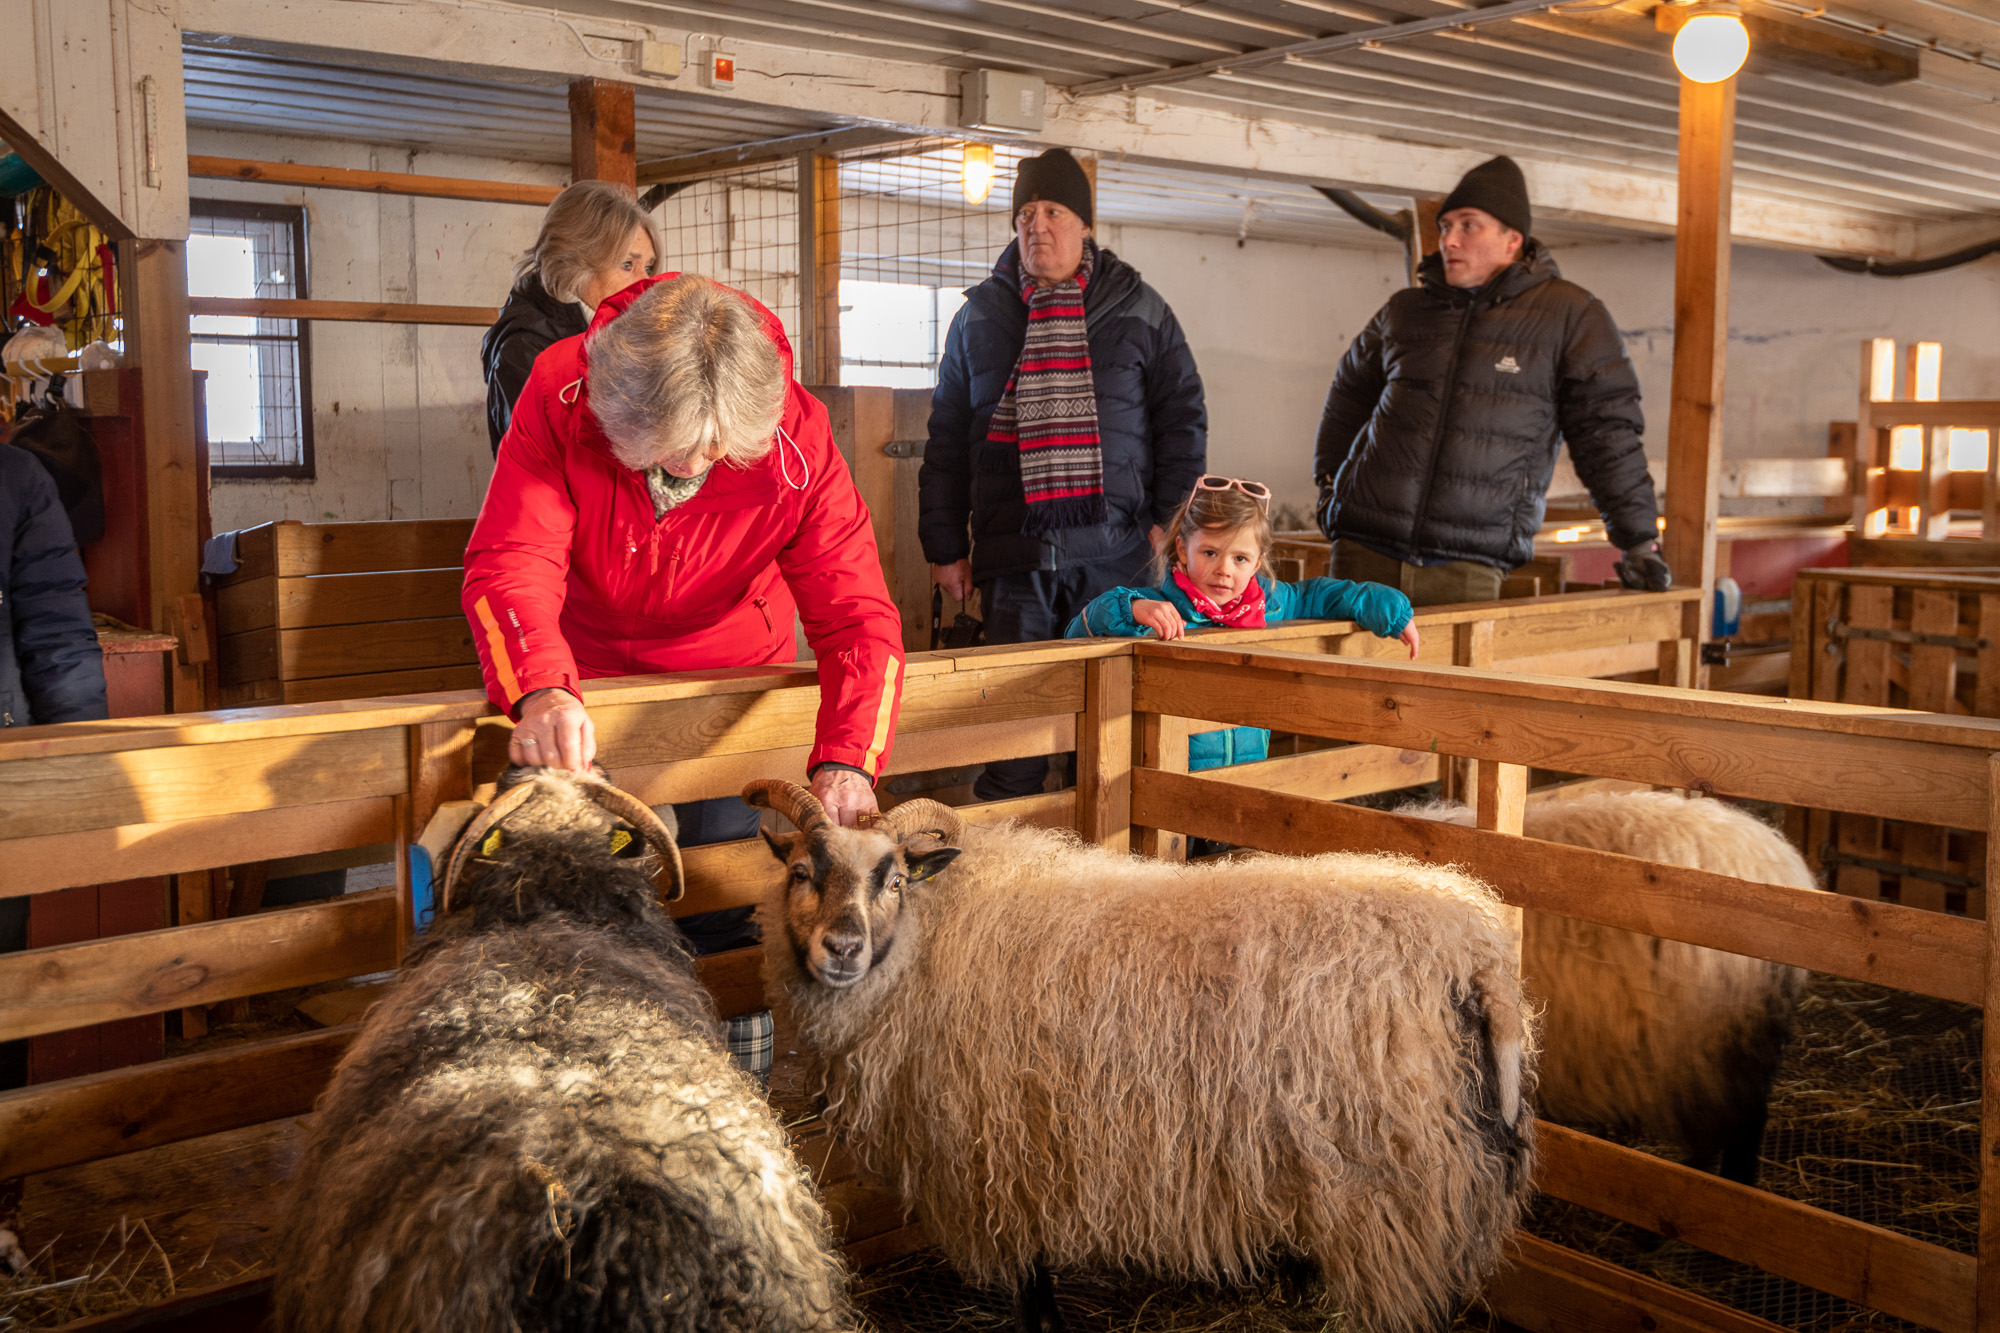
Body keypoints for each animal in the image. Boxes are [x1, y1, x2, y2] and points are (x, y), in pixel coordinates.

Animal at [744, 780, 1536, 1328]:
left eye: (894, 879)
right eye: (801, 872)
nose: (841, 949)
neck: (930, 935)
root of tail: (1480, 956)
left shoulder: (1001, 1149)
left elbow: (1033, 1283)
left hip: (1395, 1188)